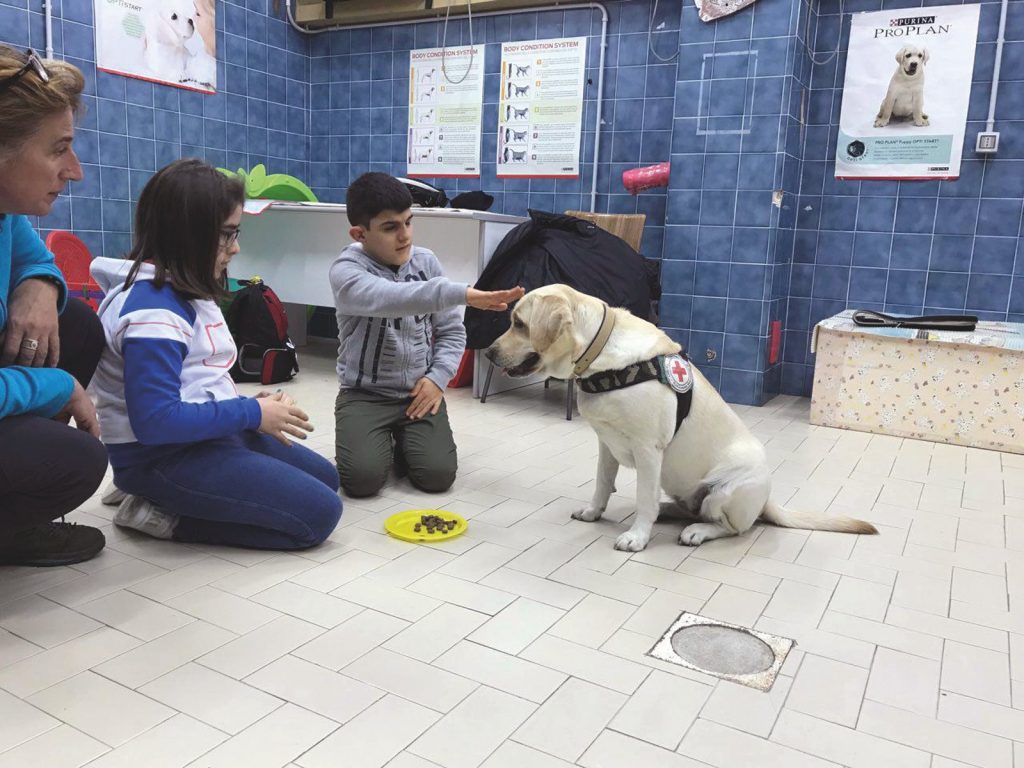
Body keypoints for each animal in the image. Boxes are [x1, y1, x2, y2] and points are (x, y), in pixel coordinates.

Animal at [487, 286, 880, 548]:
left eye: (519, 323)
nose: (489, 352)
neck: (602, 358)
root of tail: (768, 500)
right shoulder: (605, 444)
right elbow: (601, 484)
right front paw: (593, 512)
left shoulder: (648, 450)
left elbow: (643, 497)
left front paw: (637, 537)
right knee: (683, 507)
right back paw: (669, 511)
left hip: (725, 491)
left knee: (730, 526)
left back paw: (696, 531)